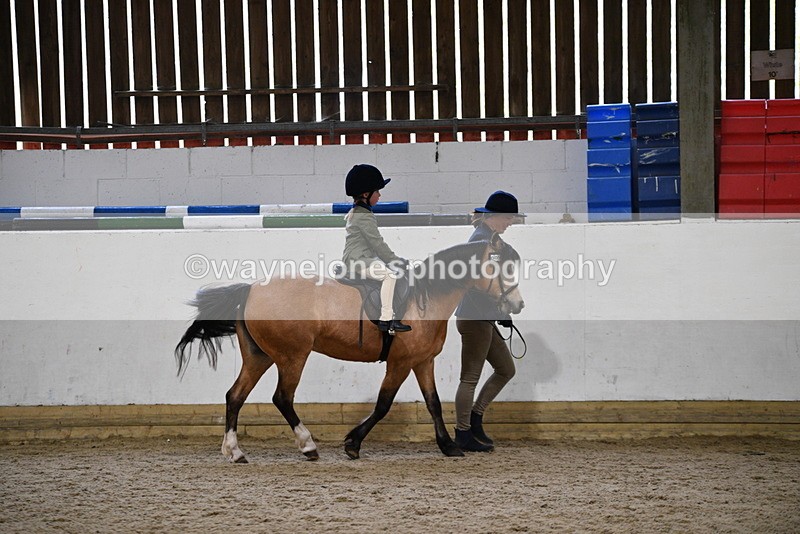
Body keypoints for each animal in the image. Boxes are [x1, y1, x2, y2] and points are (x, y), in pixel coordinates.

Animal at [174, 237, 524, 462]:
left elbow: (434, 404)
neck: (424, 300)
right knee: (282, 398)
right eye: (503, 268)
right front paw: (352, 443)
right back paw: (308, 446)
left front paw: (448, 446)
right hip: (292, 357)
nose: (517, 305)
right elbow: (383, 405)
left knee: (235, 396)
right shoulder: (400, 362)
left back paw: (235, 451)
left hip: (259, 357)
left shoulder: (422, 361)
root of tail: (251, 289)